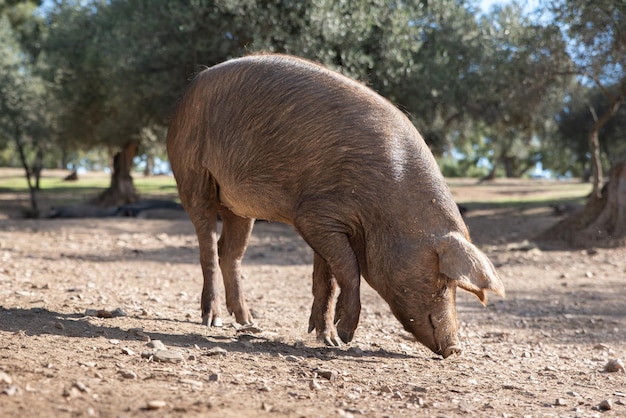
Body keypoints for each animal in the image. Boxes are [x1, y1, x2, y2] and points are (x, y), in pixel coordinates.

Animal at [166, 54, 502, 358]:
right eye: (442, 279)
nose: (455, 349)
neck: (385, 207)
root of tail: (191, 86)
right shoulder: (315, 215)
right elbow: (350, 269)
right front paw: (345, 336)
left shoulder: (326, 226)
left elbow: (326, 278)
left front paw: (326, 339)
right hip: (191, 172)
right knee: (207, 247)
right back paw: (212, 320)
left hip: (239, 207)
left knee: (230, 253)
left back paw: (246, 321)